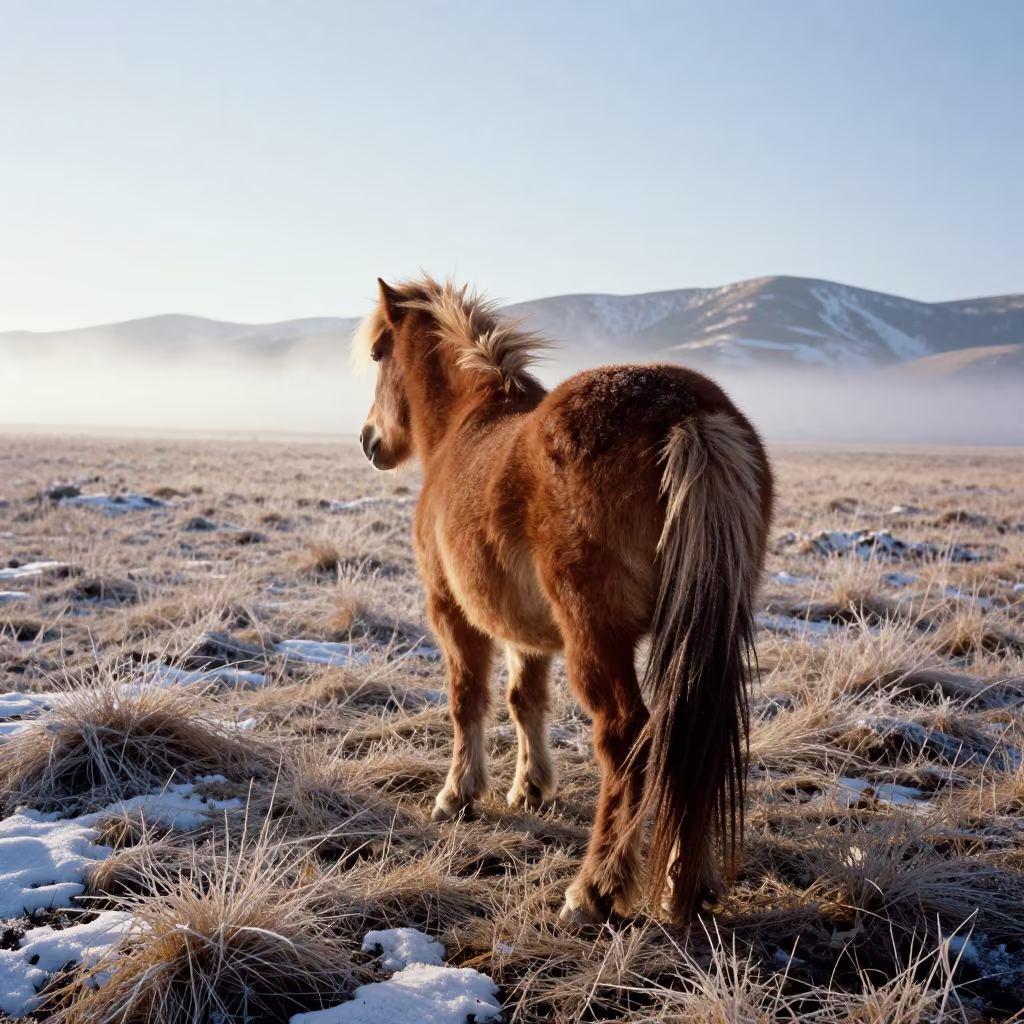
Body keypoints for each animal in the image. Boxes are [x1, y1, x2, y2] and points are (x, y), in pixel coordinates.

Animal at [354, 275, 774, 925]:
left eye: (379, 354)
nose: (369, 441)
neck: (464, 424)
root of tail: (688, 415)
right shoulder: (527, 629)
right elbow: (524, 700)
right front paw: (530, 788)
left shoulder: (451, 610)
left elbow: (467, 700)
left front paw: (457, 795)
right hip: (705, 629)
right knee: (696, 737)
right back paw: (687, 884)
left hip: (594, 634)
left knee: (627, 739)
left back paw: (593, 890)